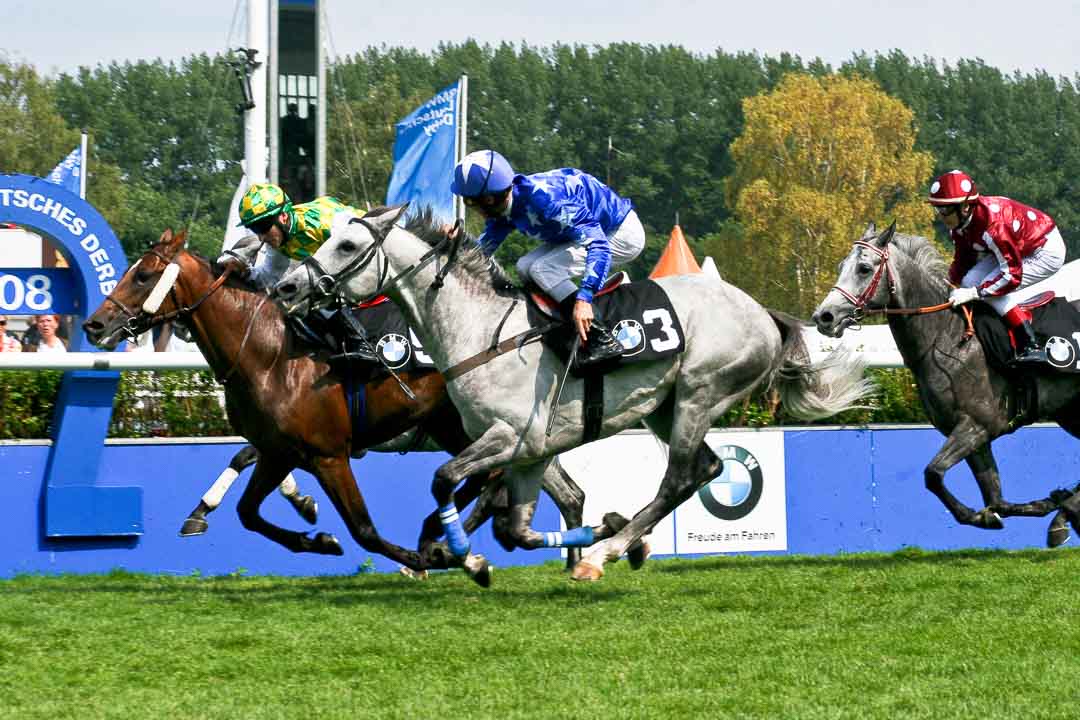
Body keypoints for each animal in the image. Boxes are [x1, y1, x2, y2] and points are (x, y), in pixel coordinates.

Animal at [82, 228, 591, 578]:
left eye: (143, 275)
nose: (94, 325)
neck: (270, 355)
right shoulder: (279, 451)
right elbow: (248, 510)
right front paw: (315, 533)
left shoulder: (329, 455)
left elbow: (363, 529)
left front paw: (421, 558)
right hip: (474, 430)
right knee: (524, 484)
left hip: (481, 428)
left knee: (498, 480)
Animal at [272, 205, 875, 583]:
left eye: (347, 244)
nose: (287, 286)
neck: (481, 331)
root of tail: (762, 313)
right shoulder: (530, 450)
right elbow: (512, 526)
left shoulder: (511, 437)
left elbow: (447, 482)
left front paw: (460, 554)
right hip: (666, 406)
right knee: (703, 469)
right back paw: (615, 541)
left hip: (700, 393)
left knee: (680, 476)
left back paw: (604, 553)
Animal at [811, 222, 1080, 544]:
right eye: (841, 266)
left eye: (864, 268)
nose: (824, 317)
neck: (946, 339)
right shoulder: (973, 436)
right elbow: (996, 500)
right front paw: (1019, 510)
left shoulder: (977, 425)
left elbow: (933, 474)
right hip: (1071, 413)